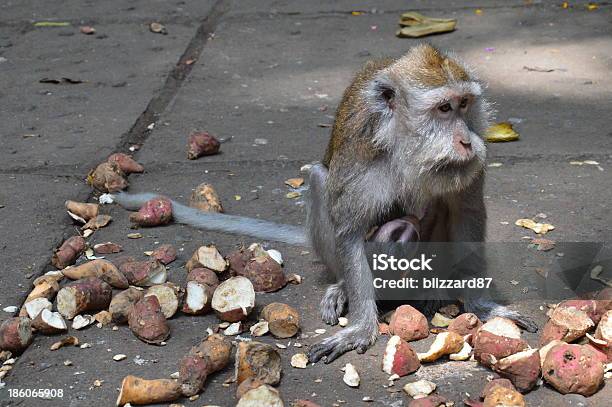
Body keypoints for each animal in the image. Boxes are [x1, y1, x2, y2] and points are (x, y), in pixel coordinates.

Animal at [115, 43, 536, 364]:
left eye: (464, 104)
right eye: (444, 109)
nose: (466, 141)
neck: (405, 147)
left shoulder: (469, 169)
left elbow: (467, 214)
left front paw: (482, 305)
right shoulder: (361, 162)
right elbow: (348, 230)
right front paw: (362, 328)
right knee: (322, 182)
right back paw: (343, 286)